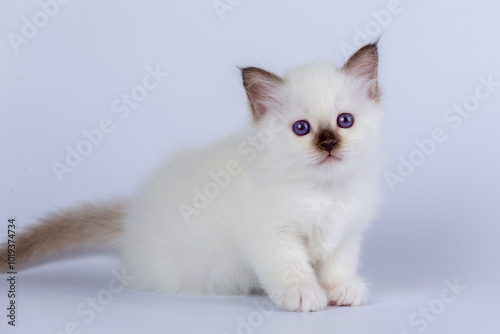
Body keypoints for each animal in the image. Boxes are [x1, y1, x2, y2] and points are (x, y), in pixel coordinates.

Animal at [0, 43, 382, 312]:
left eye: (344, 121)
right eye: (301, 129)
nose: (328, 143)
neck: (324, 192)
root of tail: (134, 214)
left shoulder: (346, 232)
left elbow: (337, 267)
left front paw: (342, 290)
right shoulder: (273, 235)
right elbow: (291, 267)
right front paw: (303, 294)